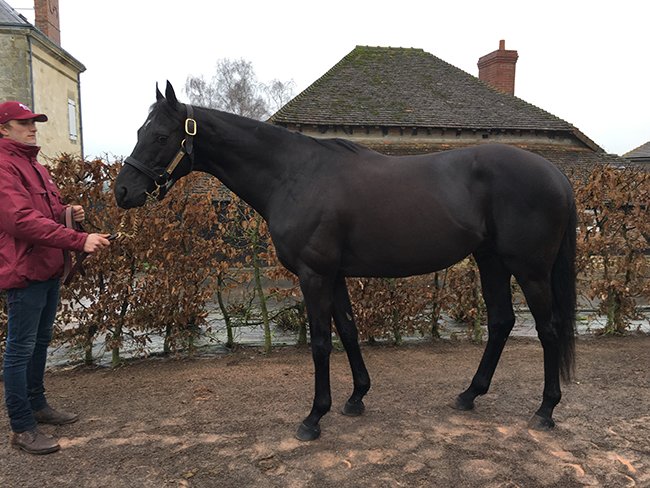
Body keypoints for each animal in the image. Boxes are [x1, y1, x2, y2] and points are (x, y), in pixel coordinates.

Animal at [115, 82, 576, 441]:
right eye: (139, 130)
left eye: (160, 136)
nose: (122, 191)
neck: (295, 175)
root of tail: (555, 174)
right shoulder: (333, 275)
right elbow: (349, 333)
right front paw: (356, 398)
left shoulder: (314, 275)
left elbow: (321, 342)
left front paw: (313, 418)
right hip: (490, 260)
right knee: (500, 322)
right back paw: (469, 395)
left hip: (530, 270)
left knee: (549, 328)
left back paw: (545, 411)